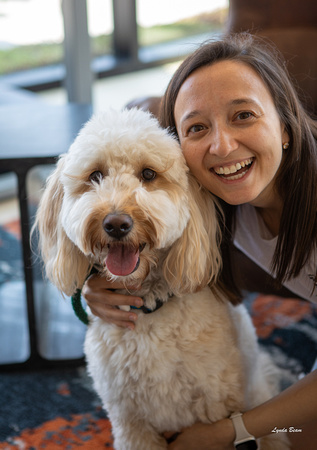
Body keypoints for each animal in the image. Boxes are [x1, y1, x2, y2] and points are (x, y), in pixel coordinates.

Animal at [34, 109, 288, 450]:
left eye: (148, 174)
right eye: (96, 175)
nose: (116, 224)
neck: (146, 310)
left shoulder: (215, 405)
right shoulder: (130, 422)